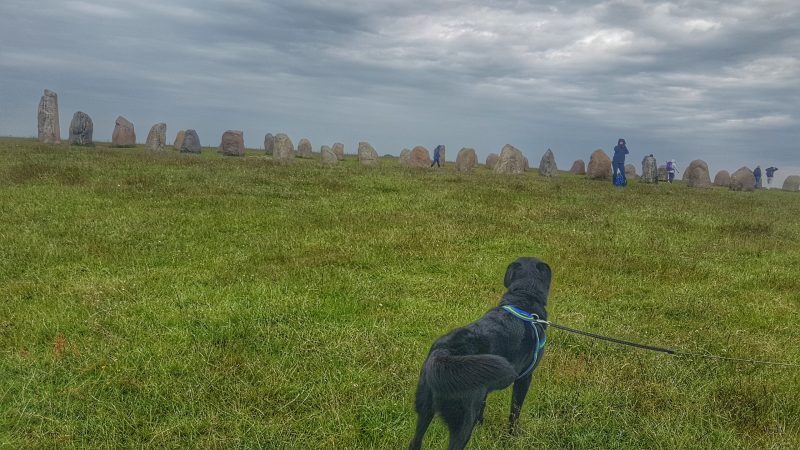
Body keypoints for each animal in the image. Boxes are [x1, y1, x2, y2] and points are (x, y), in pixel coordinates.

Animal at [406, 256, 552, 450]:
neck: (523, 298)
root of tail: (444, 353)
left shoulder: (485, 387)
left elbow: (483, 405)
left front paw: (482, 425)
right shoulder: (524, 378)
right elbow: (515, 411)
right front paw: (513, 436)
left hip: (425, 409)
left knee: (415, 441)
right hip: (462, 423)